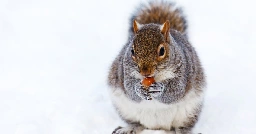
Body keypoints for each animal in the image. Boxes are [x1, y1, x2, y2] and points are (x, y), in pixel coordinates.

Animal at [107, 1, 206, 134]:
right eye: (132, 51)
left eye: (162, 51)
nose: (145, 72)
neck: (154, 77)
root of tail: (157, 127)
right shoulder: (124, 72)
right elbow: (129, 89)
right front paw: (138, 89)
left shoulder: (184, 72)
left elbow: (175, 91)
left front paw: (159, 89)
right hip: (125, 110)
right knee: (137, 124)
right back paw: (127, 128)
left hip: (189, 113)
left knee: (182, 128)